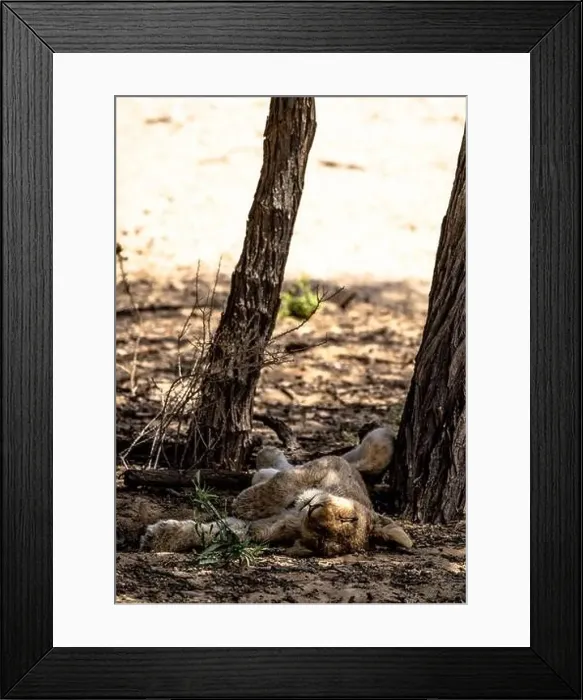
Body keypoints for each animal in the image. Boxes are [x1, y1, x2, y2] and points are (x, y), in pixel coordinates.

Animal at [140, 426, 413, 557]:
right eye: (350, 518)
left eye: (321, 536)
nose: (313, 510)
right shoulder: (326, 465)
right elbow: (283, 482)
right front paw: (246, 503)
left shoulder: (260, 531)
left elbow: (218, 532)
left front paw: (158, 538)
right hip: (361, 454)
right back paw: (266, 455)